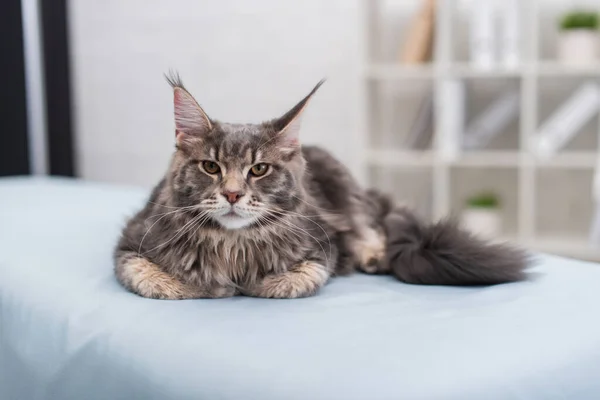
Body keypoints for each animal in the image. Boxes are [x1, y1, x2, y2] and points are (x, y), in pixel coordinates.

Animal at [113, 74, 528, 300]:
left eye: (259, 169)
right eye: (211, 167)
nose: (232, 194)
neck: (233, 246)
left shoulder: (322, 247)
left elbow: (297, 279)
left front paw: (252, 285)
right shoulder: (131, 241)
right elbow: (150, 277)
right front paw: (208, 286)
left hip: (346, 192)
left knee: (372, 228)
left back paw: (373, 256)